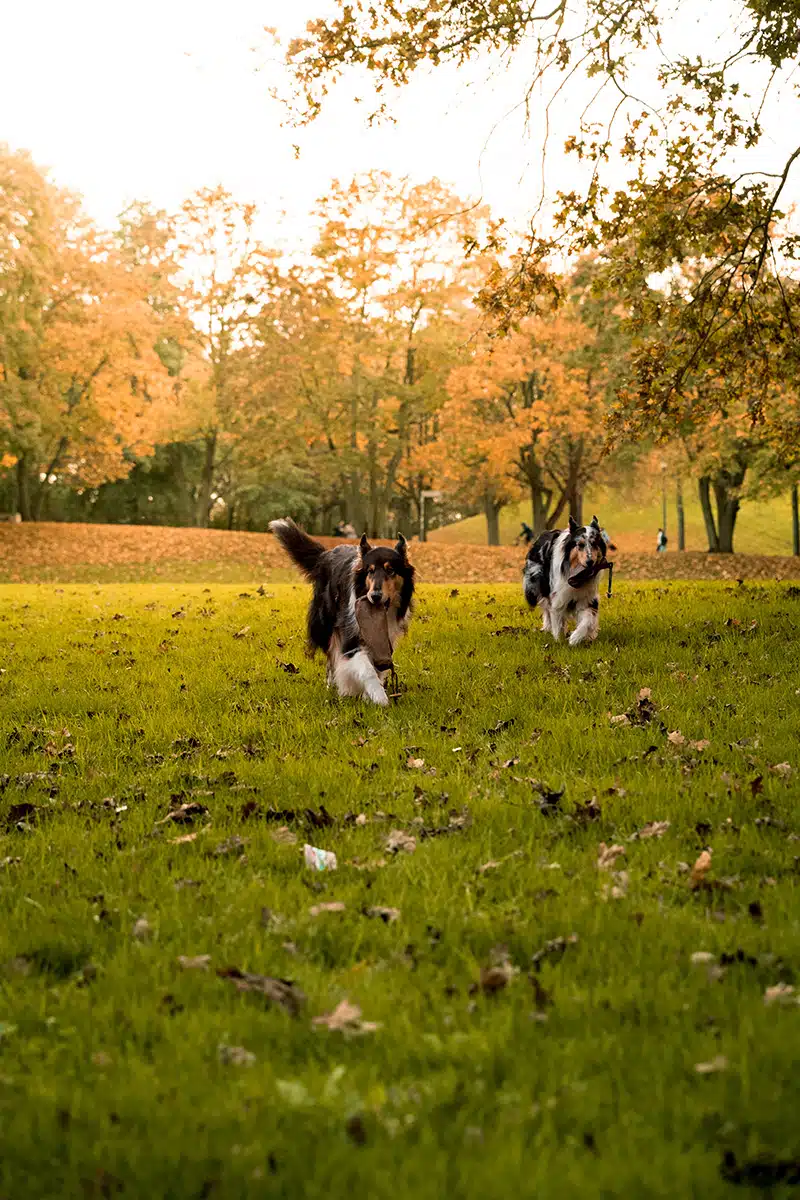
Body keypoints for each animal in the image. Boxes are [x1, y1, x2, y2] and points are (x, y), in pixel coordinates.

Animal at [271, 520, 417, 705]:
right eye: (370, 571)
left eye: (390, 570)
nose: (375, 596)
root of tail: (325, 555)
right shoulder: (351, 637)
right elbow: (367, 669)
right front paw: (379, 697)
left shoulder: (385, 639)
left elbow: (378, 668)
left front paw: (368, 696)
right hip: (324, 625)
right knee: (330, 658)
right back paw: (331, 684)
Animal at [522, 516, 609, 648]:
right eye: (580, 545)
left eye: (594, 543)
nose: (590, 562)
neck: (578, 575)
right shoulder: (558, 597)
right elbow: (557, 621)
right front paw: (559, 641)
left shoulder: (588, 599)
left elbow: (587, 621)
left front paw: (575, 638)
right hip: (539, 585)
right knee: (546, 607)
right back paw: (547, 627)